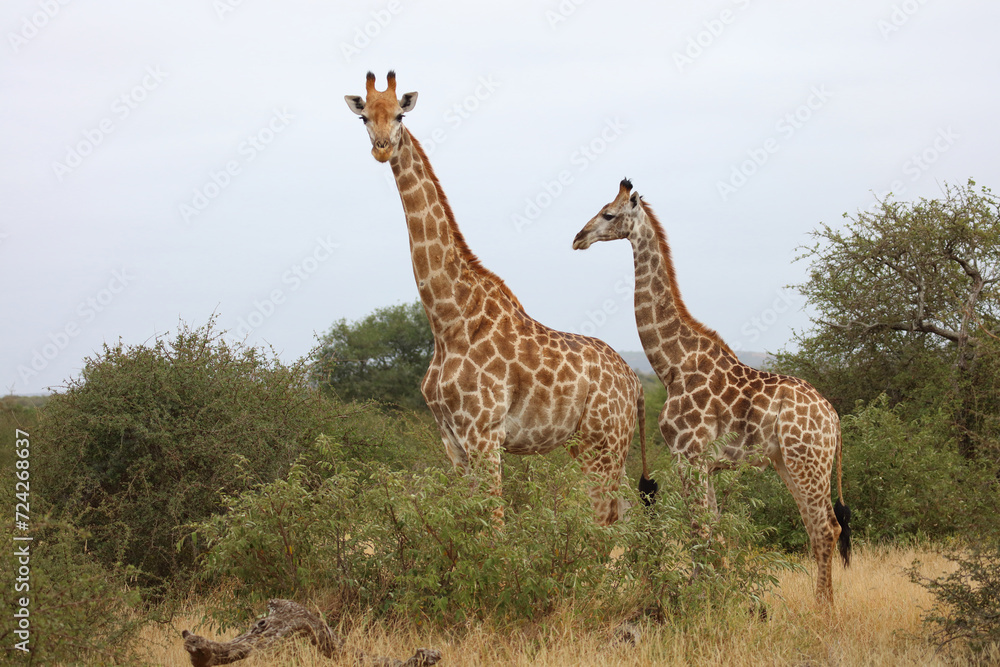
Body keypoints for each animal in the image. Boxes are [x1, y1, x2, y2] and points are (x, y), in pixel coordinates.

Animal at [344, 72, 653, 525]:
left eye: (400, 114)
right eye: (364, 116)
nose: (382, 147)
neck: (448, 319)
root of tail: (634, 382)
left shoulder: (484, 434)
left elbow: (495, 524)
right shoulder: (451, 439)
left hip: (605, 443)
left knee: (607, 520)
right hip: (592, 444)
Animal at [572, 179, 851, 602]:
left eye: (608, 213)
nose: (578, 238)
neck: (671, 364)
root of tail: (834, 419)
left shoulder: (688, 455)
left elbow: (698, 531)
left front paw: (698, 599)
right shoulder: (707, 463)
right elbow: (715, 532)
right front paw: (720, 596)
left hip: (808, 461)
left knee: (826, 528)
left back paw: (823, 609)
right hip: (790, 463)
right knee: (817, 526)